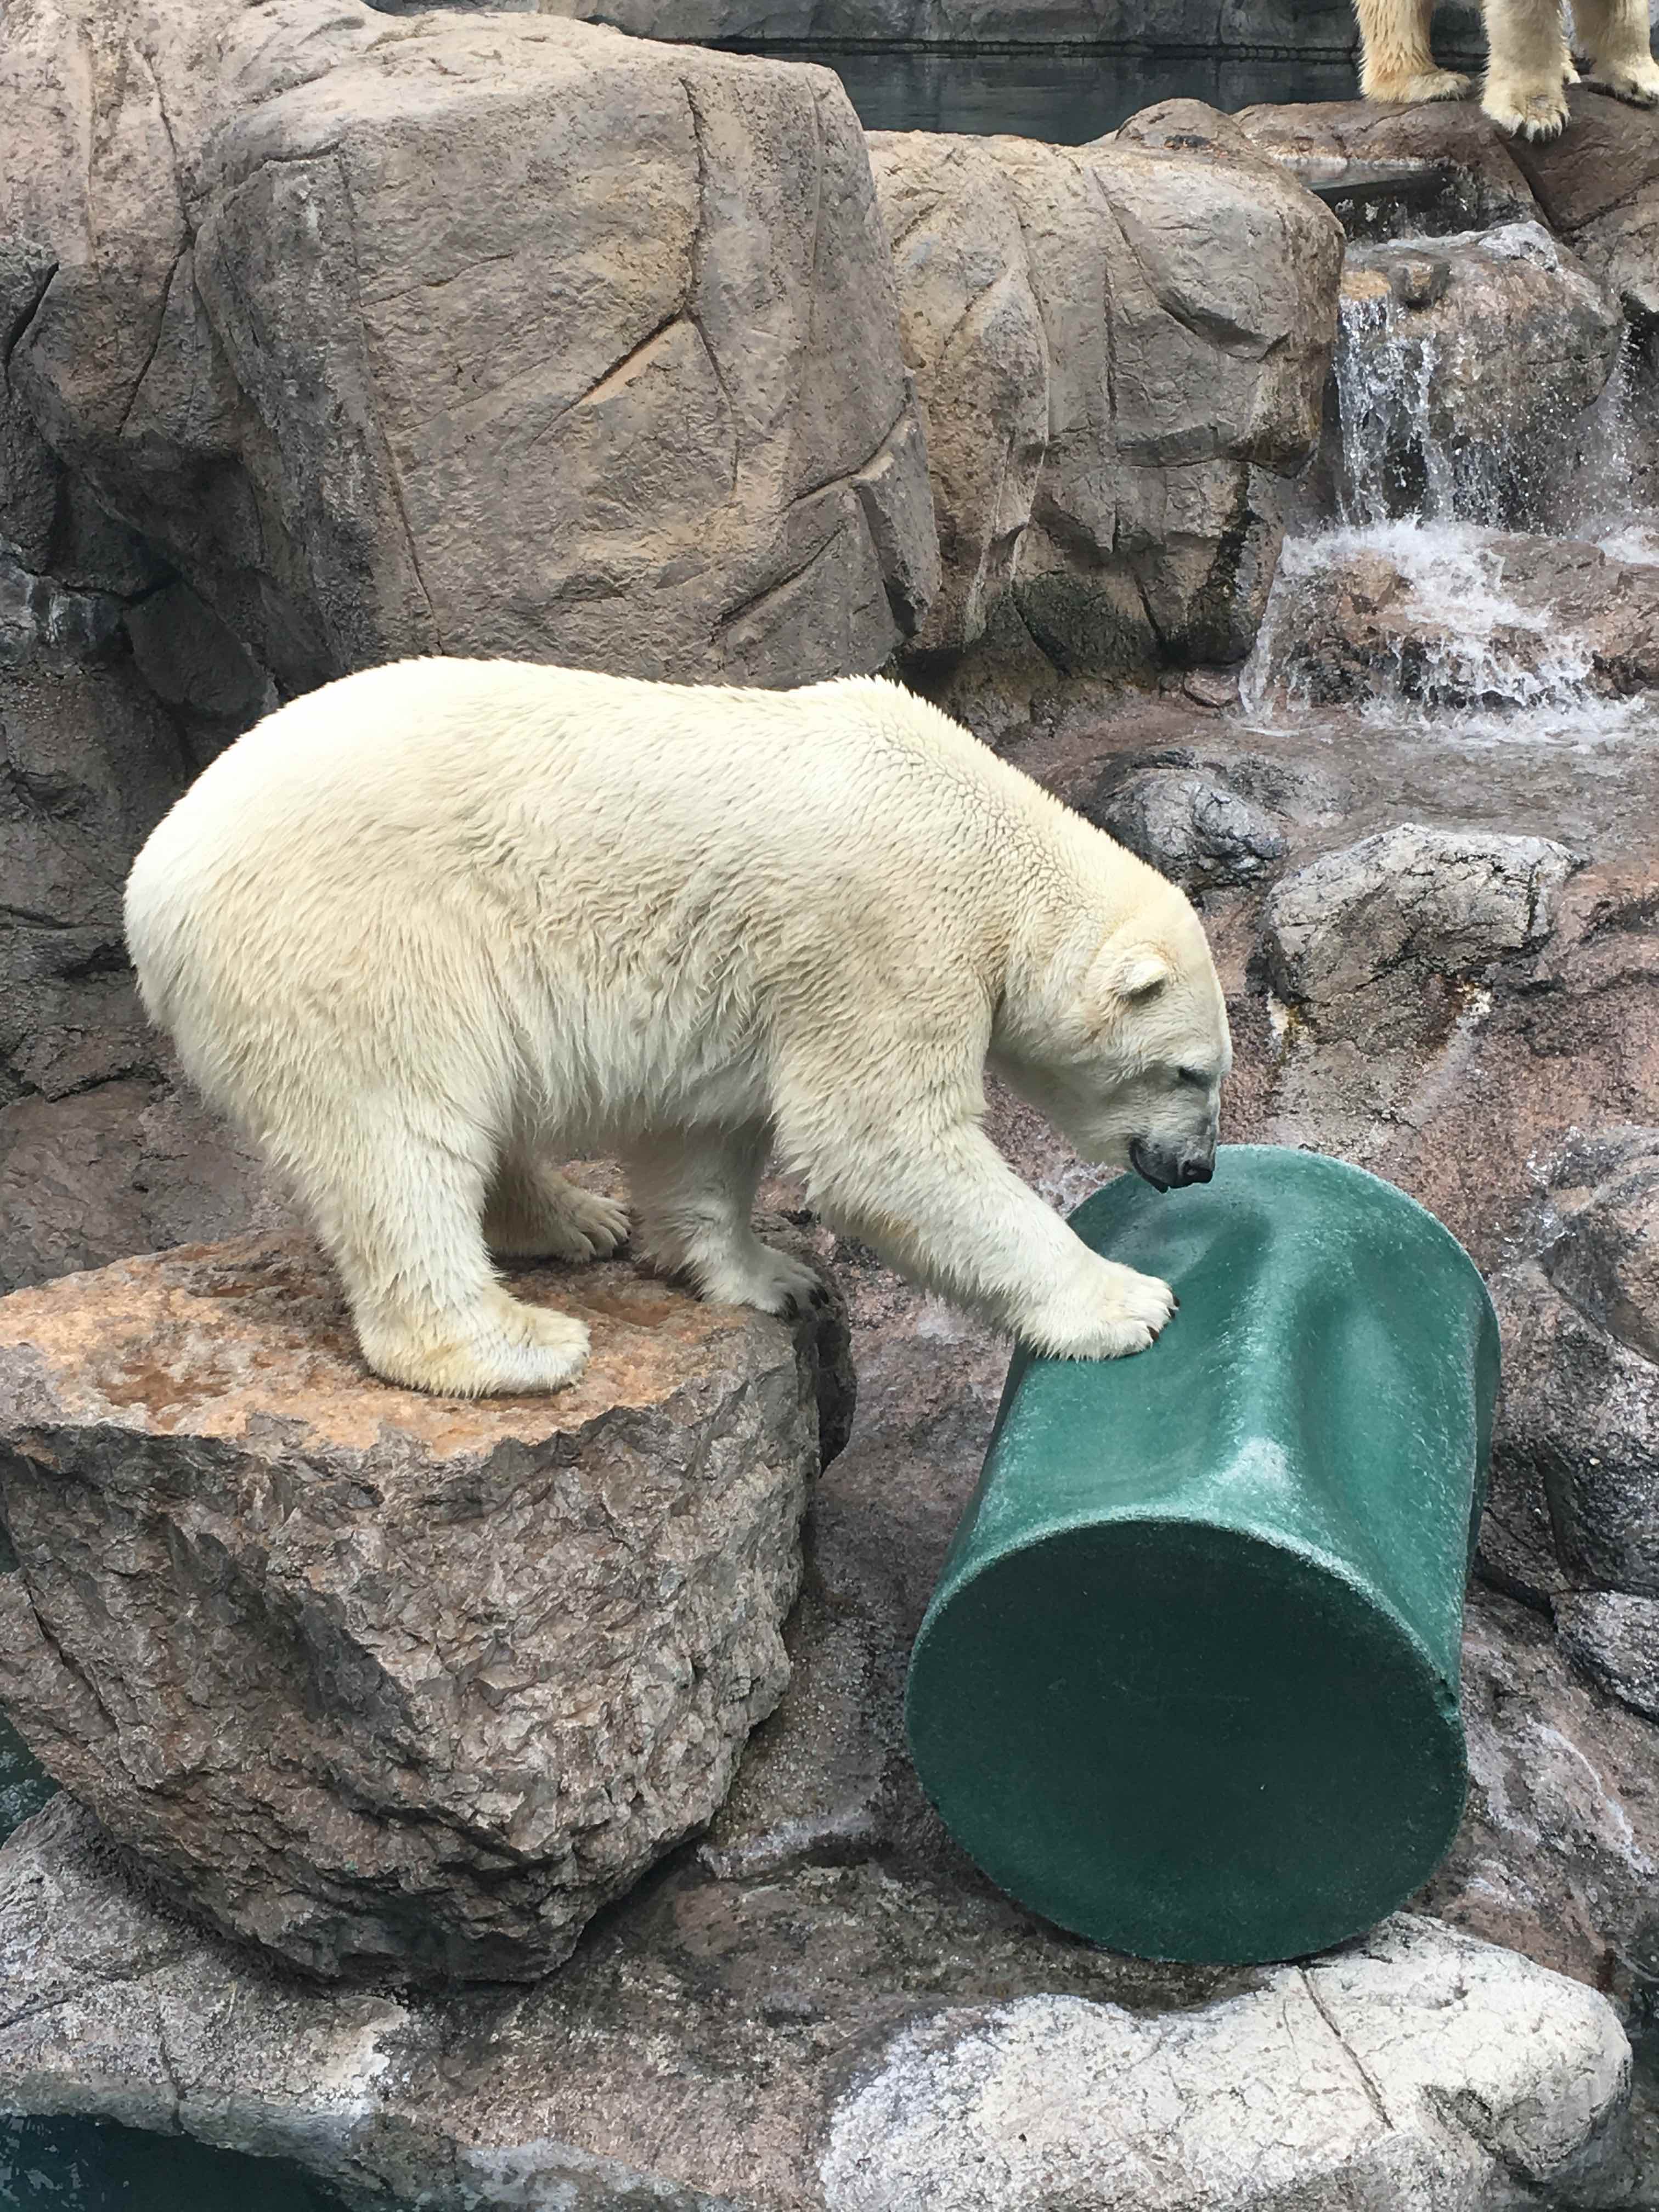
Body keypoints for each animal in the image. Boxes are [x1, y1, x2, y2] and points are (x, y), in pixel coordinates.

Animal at [129, 654, 1238, 1407]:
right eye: (1191, 1073)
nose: (1198, 1169)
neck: (982, 828)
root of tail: (151, 890)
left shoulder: (759, 977)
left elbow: (703, 1133)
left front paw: (769, 1277)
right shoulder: (885, 933)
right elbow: (882, 1144)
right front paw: (1130, 1302)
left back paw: (576, 1218)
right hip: (359, 946)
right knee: (397, 1137)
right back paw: (513, 1343)